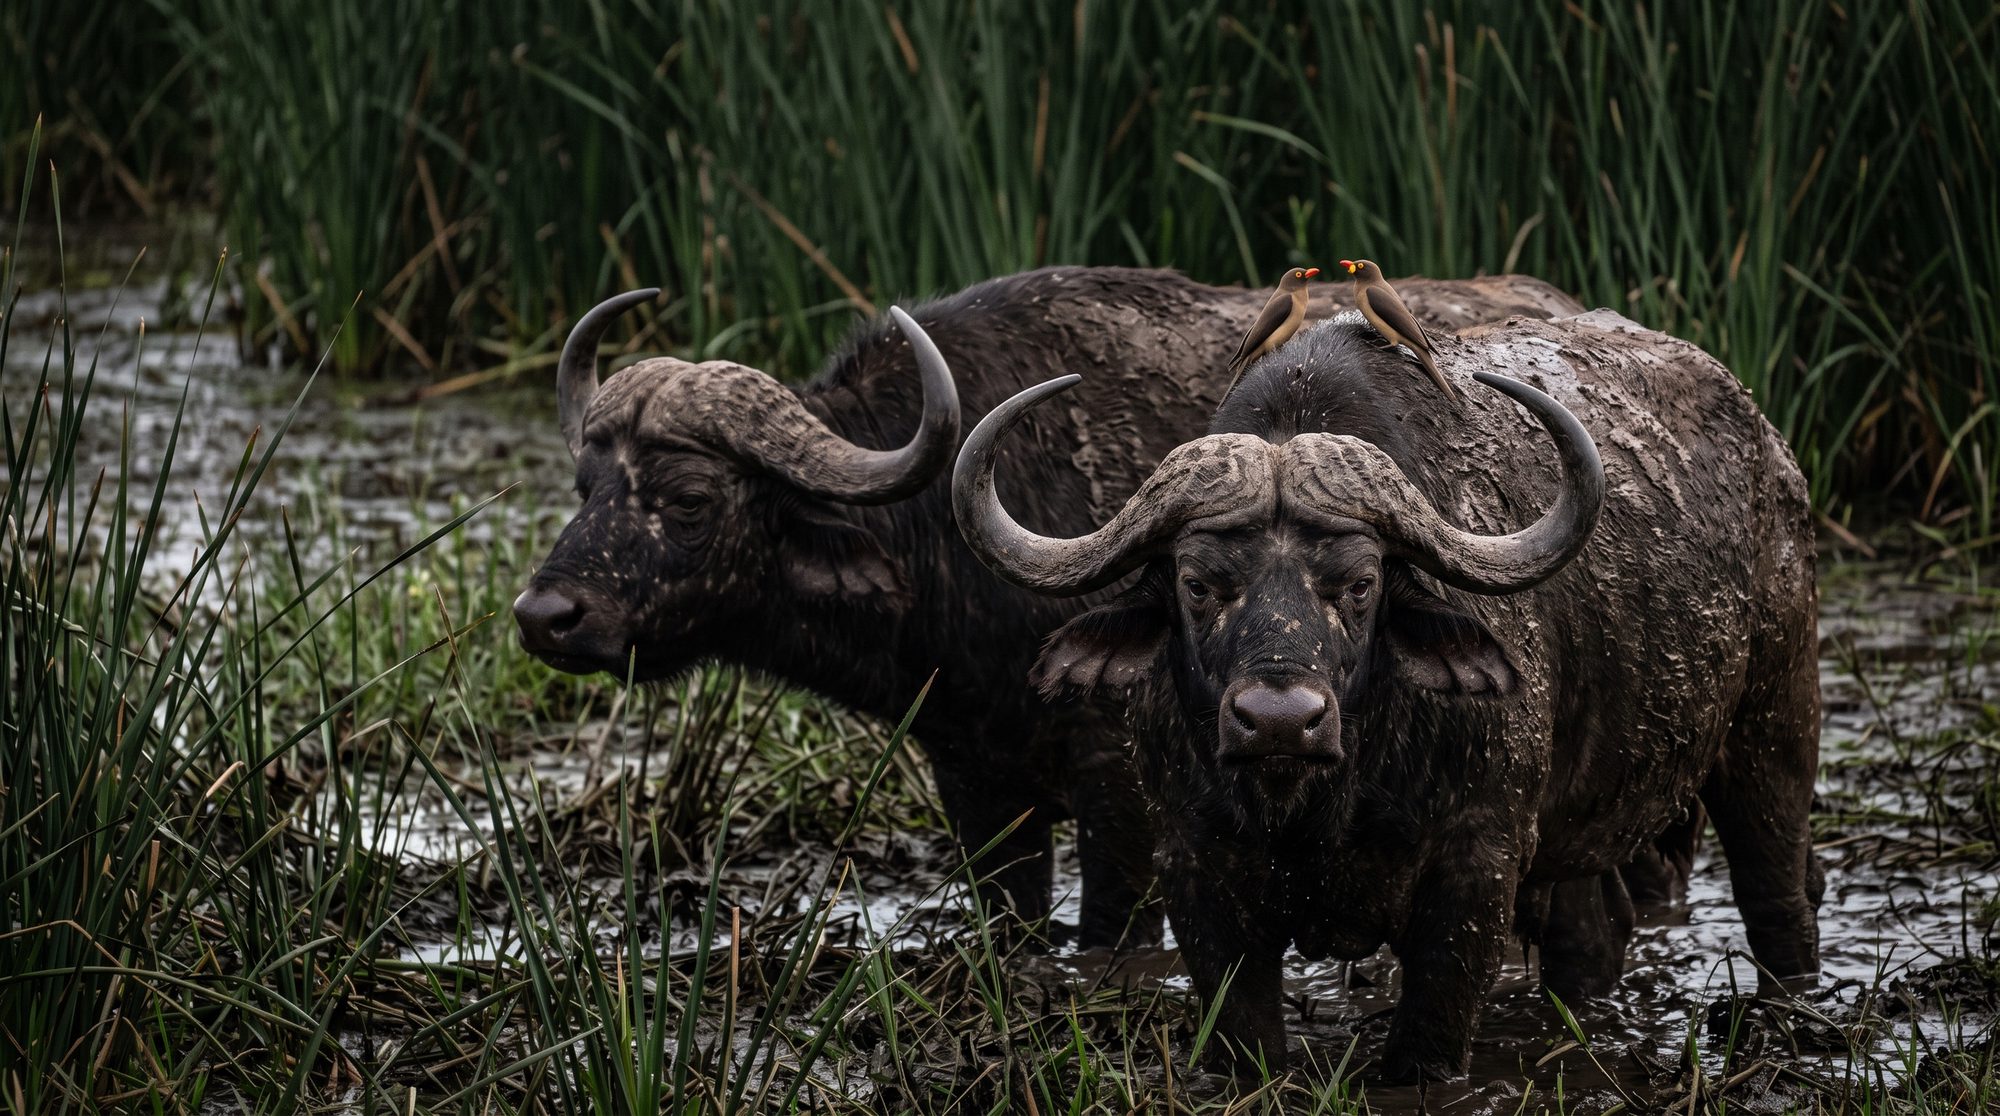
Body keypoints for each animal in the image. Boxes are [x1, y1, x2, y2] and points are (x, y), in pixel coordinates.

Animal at [514, 267, 1584, 948]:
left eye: (691, 498)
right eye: (585, 484)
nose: (545, 615)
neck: (945, 538)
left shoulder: (1122, 796)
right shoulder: (977, 779)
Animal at [952, 309, 1822, 1078]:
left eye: (1360, 583)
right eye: (1197, 584)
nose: (1279, 721)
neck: (1315, 806)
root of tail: (1768, 453)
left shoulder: (1476, 869)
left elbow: (1427, 1047)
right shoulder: (1194, 867)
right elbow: (1244, 1037)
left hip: (1776, 724)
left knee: (1778, 893)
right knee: (1591, 933)